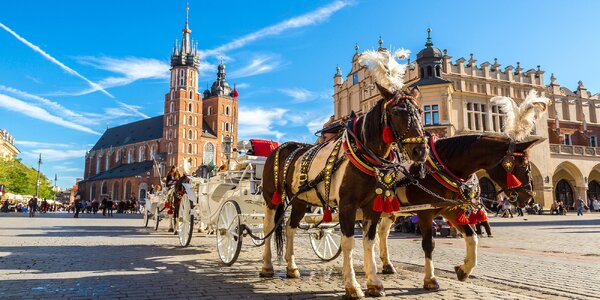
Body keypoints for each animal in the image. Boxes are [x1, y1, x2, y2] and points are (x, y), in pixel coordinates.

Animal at [380, 134, 544, 290]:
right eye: (524, 165)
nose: (529, 197)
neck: (439, 169)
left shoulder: (451, 210)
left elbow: (472, 237)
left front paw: (464, 270)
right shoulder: (425, 213)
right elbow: (428, 244)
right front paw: (430, 279)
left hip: (390, 211)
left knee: (382, 232)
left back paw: (387, 265)